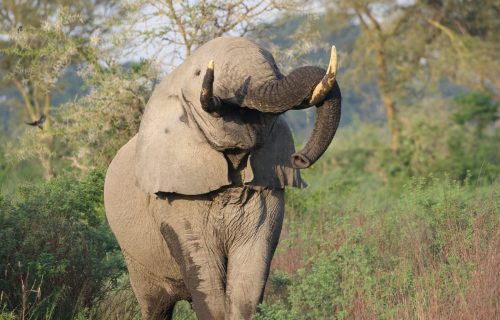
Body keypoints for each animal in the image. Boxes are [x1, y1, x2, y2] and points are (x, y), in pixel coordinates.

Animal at [103, 36, 342, 318]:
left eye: (274, 64)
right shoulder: (177, 200)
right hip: (135, 255)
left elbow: (248, 282)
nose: (299, 158)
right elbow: (206, 277)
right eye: (200, 73)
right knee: (156, 305)